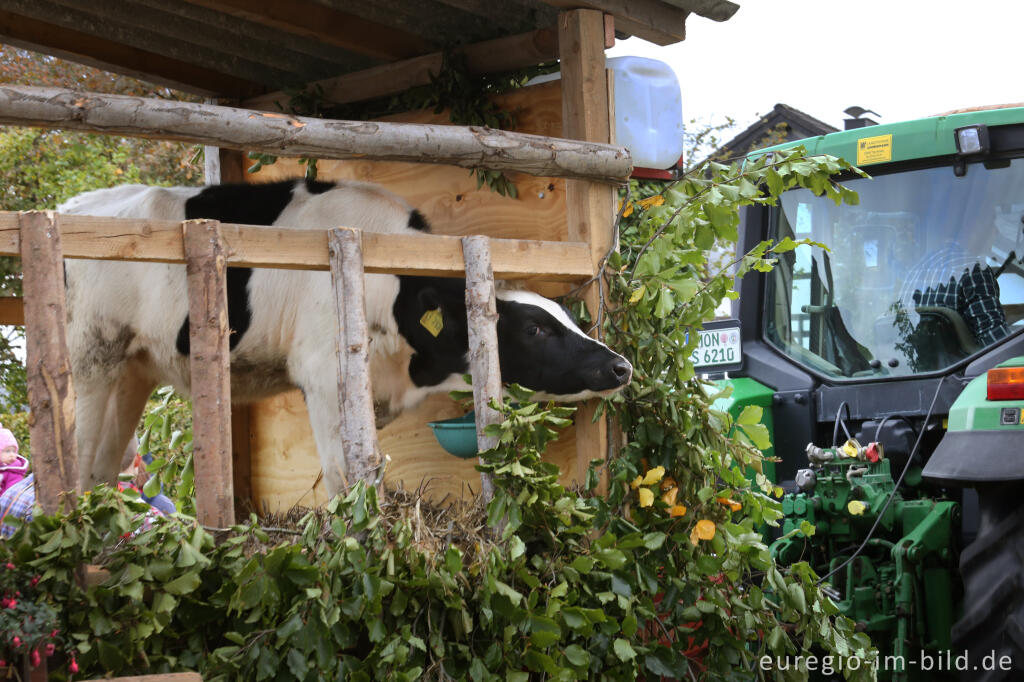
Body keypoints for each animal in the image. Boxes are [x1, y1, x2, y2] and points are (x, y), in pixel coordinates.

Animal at [59, 178, 630, 491]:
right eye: (535, 328)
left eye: (568, 317)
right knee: (78, 457)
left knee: (103, 466)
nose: (620, 365)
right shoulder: (322, 375)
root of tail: (71, 205)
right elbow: (345, 474)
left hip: (133, 368)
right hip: (89, 354)